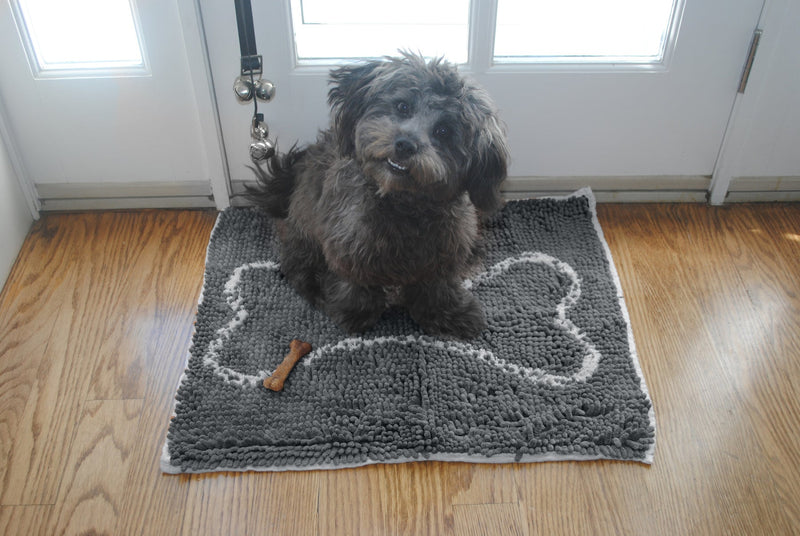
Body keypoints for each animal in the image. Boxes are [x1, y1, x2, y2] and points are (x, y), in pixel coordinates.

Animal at [250, 53, 510, 340]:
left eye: (443, 131)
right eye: (403, 106)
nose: (405, 145)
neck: (402, 205)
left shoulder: (444, 252)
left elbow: (437, 287)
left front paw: (449, 314)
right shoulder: (346, 244)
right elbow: (356, 283)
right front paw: (355, 312)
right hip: (306, 232)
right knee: (297, 265)